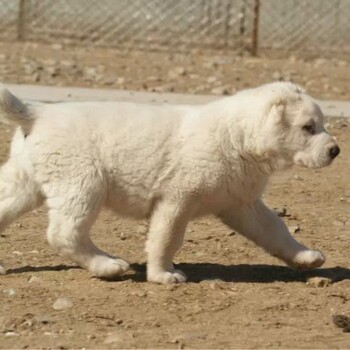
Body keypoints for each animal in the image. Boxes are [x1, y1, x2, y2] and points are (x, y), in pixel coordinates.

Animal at [0, 82, 340, 284]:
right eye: (308, 127)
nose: (335, 151)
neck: (237, 137)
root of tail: (36, 112)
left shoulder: (241, 204)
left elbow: (274, 230)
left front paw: (305, 257)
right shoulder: (176, 199)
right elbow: (166, 238)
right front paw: (163, 274)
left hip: (25, 182)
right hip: (82, 182)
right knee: (65, 233)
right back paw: (107, 266)